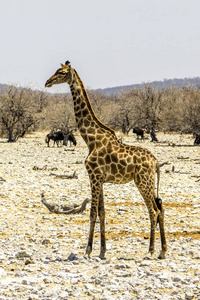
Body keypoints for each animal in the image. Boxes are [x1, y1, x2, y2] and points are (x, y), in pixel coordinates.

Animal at [45, 60, 167, 258]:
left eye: (62, 72)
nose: (47, 82)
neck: (91, 140)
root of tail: (156, 162)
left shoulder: (93, 176)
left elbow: (92, 212)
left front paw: (87, 251)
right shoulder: (100, 178)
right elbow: (102, 212)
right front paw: (102, 251)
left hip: (143, 181)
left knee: (154, 211)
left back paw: (151, 251)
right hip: (148, 182)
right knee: (160, 207)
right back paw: (162, 251)